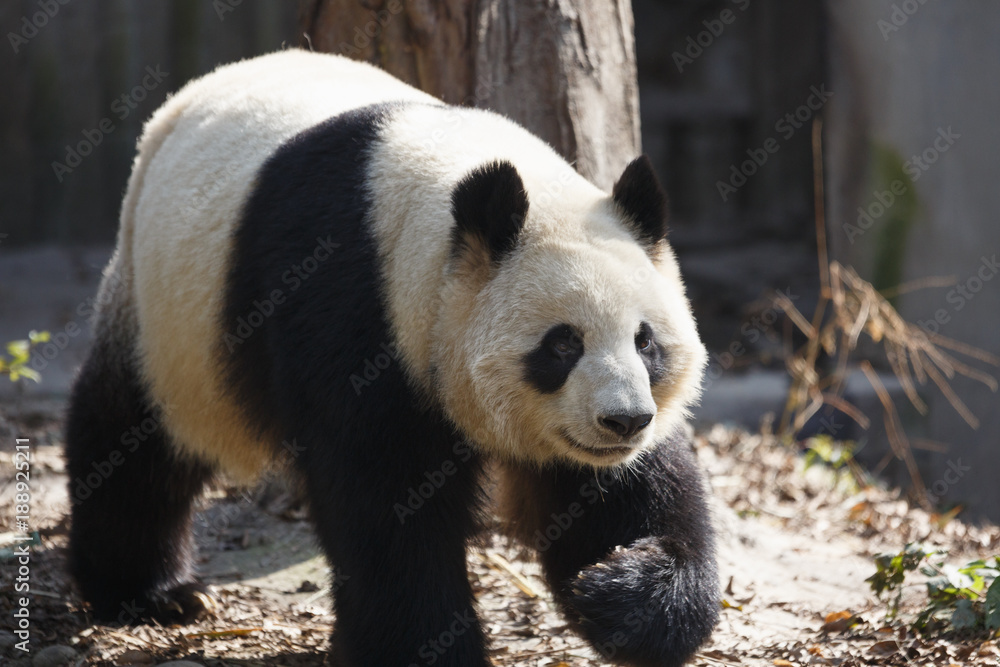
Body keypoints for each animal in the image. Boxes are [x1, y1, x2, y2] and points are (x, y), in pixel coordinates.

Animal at [65, 49, 718, 667]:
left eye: (645, 341)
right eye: (562, 344)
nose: (624, 421)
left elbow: (628, 493)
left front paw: (618, 589)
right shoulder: (353, 313)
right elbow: (385, 506)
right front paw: (423, 647)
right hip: (169, 312)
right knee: (135, 433)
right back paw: (150, 592)